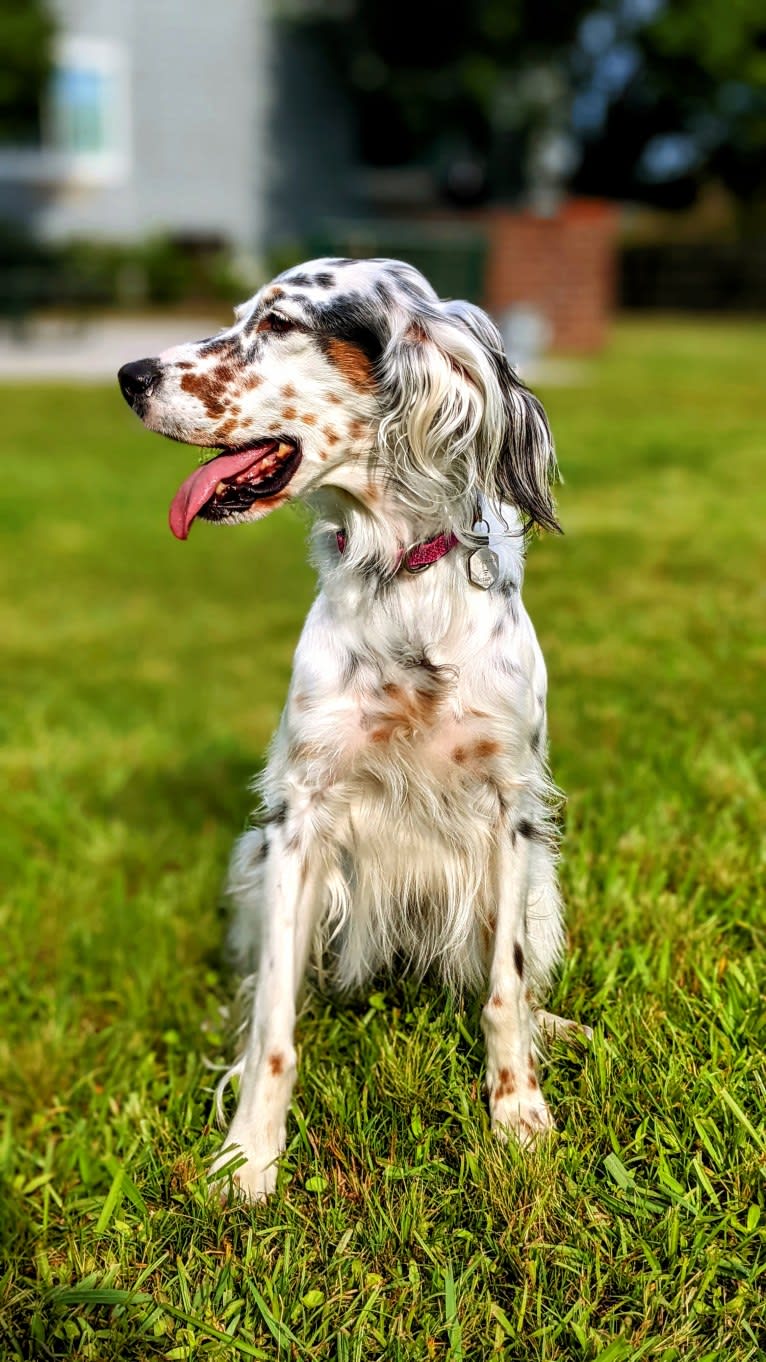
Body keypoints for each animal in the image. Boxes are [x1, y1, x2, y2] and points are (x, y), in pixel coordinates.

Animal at [117, 257, 572, 1204]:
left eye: (279, 323)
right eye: (239, 315)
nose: (129, 376)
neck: (398, 575)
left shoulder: (511, 808)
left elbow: (503, 989)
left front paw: (518, 1116)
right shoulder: (299, 820)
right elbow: (273, 1025)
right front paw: (249, 1158)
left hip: (545, 886)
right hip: (256, 867)